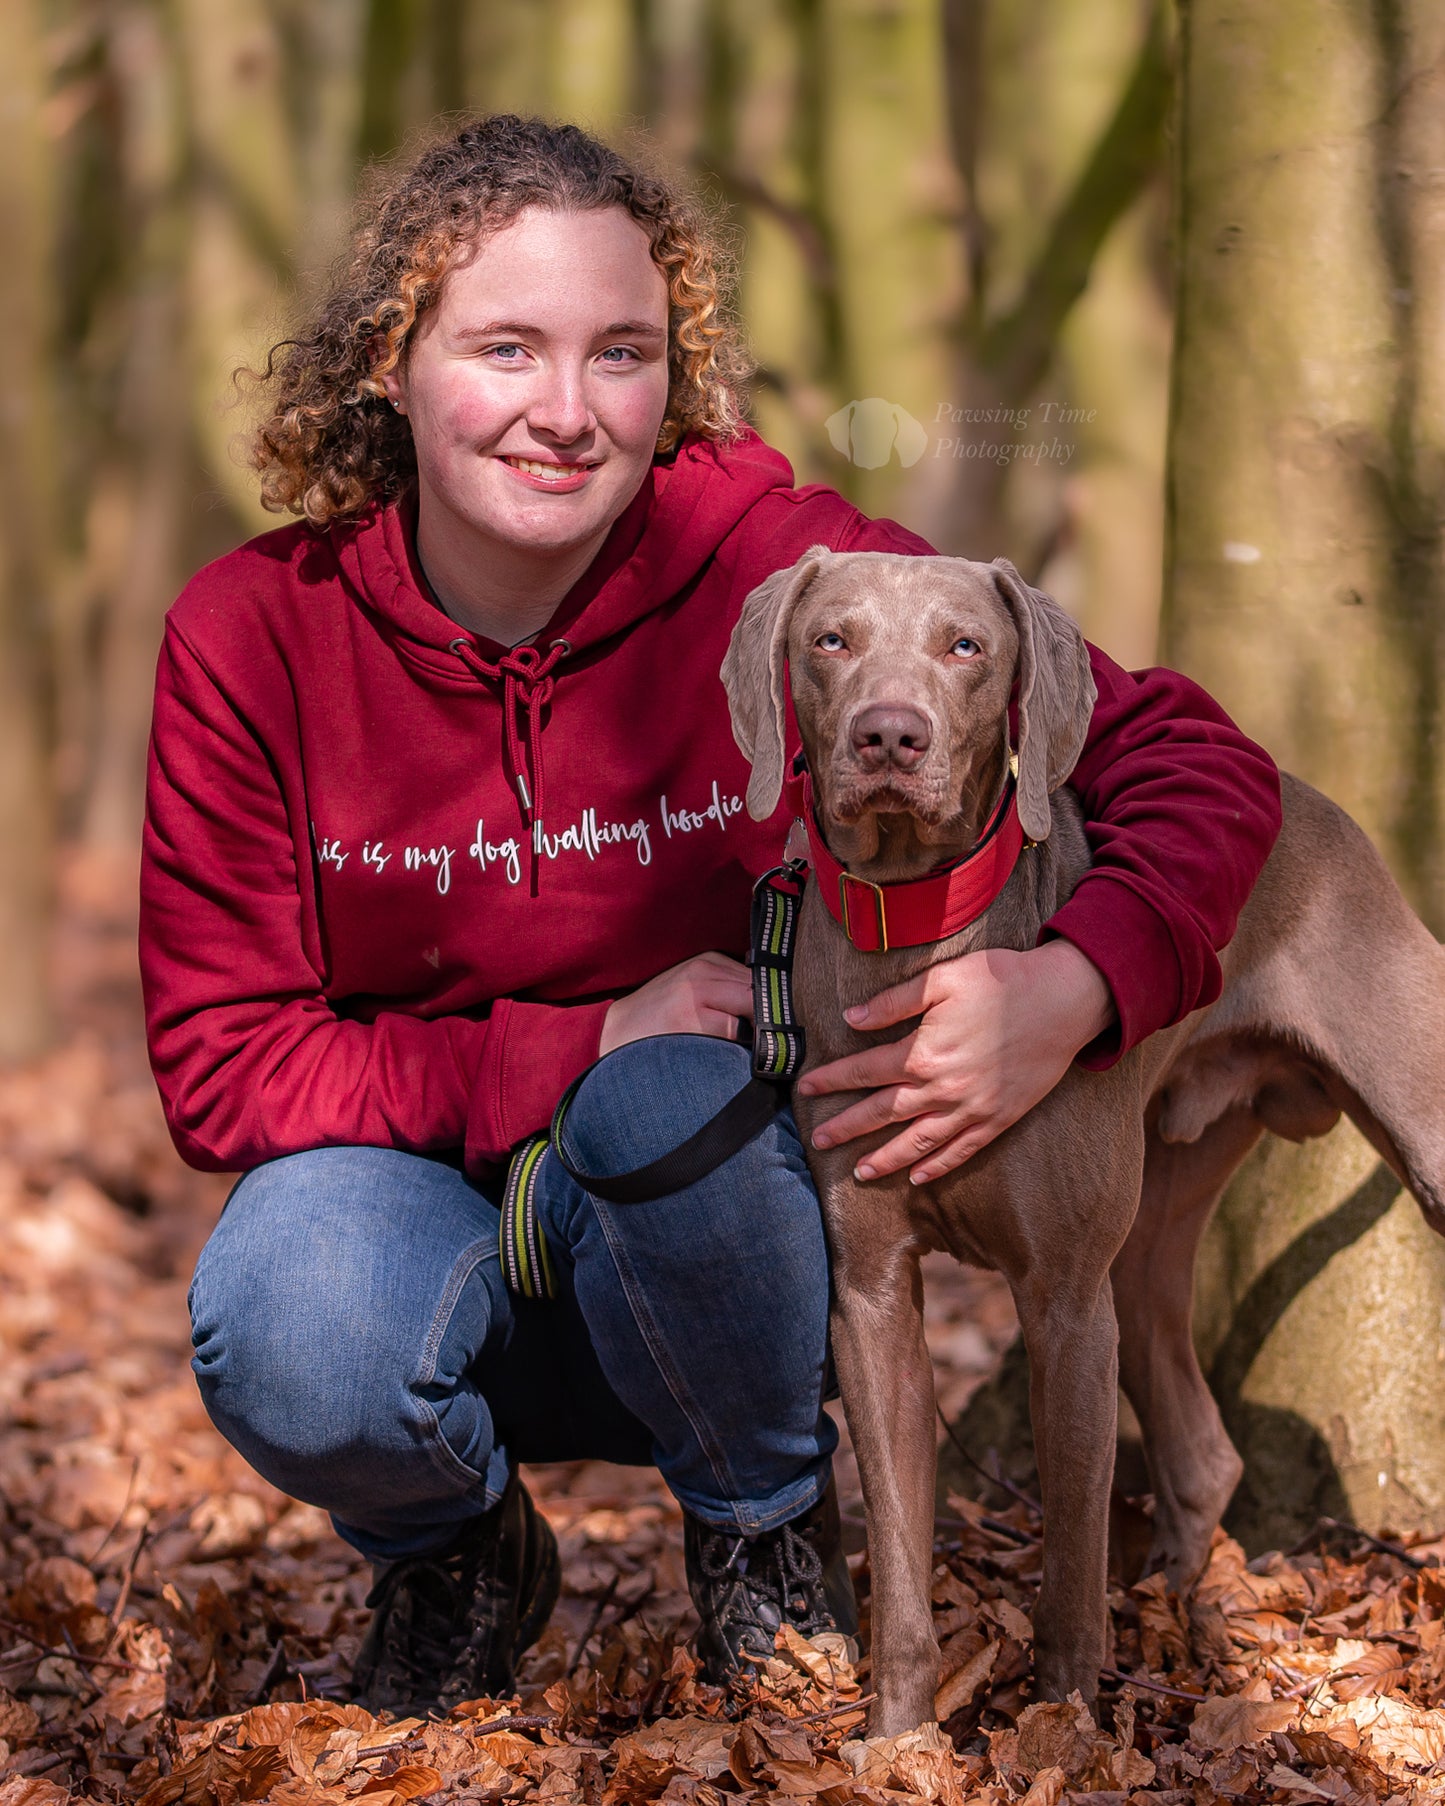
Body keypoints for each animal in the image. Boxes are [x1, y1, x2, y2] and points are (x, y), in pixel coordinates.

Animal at [718, 545, 1445, 1733]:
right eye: (830, 639)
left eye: (966, 645)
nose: (887, 736)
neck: (918, 932)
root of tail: (1312, 805)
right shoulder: (870, 1291)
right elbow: (902, 1562)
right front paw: (896, 1738)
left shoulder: (1062, 1298)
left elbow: (1067, 1566)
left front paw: (1061, 1729)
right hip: (1152, 1231)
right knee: (1200, 1453)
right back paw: (1183, 1614)